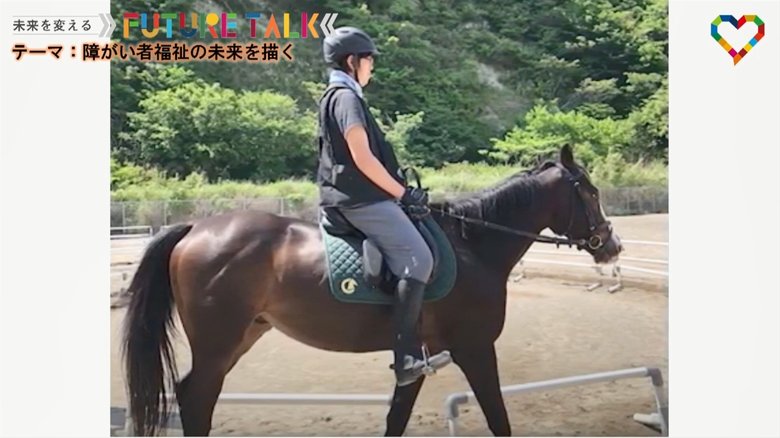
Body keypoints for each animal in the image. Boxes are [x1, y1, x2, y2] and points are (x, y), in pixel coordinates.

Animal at [122, 144, 623, 436]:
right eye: (591, 192)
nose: (612, 244)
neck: (473, 245)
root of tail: (194, 229)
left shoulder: (419, 357)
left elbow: (397, 417)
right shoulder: (476, 348)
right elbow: (498, 417)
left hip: (243, 335)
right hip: (218, 342)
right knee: (195, 399)